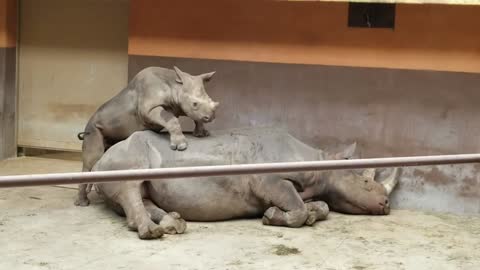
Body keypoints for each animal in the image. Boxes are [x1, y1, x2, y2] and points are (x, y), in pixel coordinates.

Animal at [75, 66, 219, 206]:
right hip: (92, 129)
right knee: (92, 158)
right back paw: (82, 204)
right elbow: (170, 118)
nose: (211, 117)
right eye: (194, 104)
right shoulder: (149, 108)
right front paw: (181, 146)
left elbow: (193, 117)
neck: (174, 84)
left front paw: (202, 134)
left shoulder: (178, 106)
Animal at [91, 128, 398, 238]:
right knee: (130, 183)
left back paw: (174, 224)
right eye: (365, 181)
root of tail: (100, 159)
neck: (322, 163)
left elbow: (318, 206)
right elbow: (296, 208)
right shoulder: (269, 179)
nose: (385, 204)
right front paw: (273, 215)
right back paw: (154, 232)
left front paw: (312, 213)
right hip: (123, 155)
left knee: (142, 194)